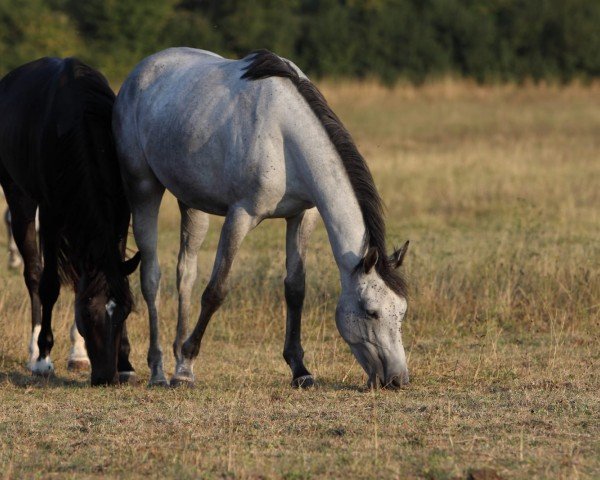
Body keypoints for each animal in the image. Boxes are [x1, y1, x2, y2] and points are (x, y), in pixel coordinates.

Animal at [0, 57, 139, 386]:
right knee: (33, 273)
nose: (106, 377)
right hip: (20, 197)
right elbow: (49, 284)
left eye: (126, 311)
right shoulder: (52, 214)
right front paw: (43, 358)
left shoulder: (119, 213)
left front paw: (125, 362)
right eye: (87, 314)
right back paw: (35, 351)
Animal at [112, 47, 410, 388]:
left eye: (402, 311)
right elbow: (215, 291)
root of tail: (140, 72)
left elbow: (295, 289)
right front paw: (186, 367)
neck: (284, 135)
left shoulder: (301, 216)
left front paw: (300, 369)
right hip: (142, 188)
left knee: (185, 274)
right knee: (151, 277)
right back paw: (158, 369)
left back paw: (174, 354)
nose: (398, 379)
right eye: (372, 312)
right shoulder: (240, 216)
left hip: (191, 203)